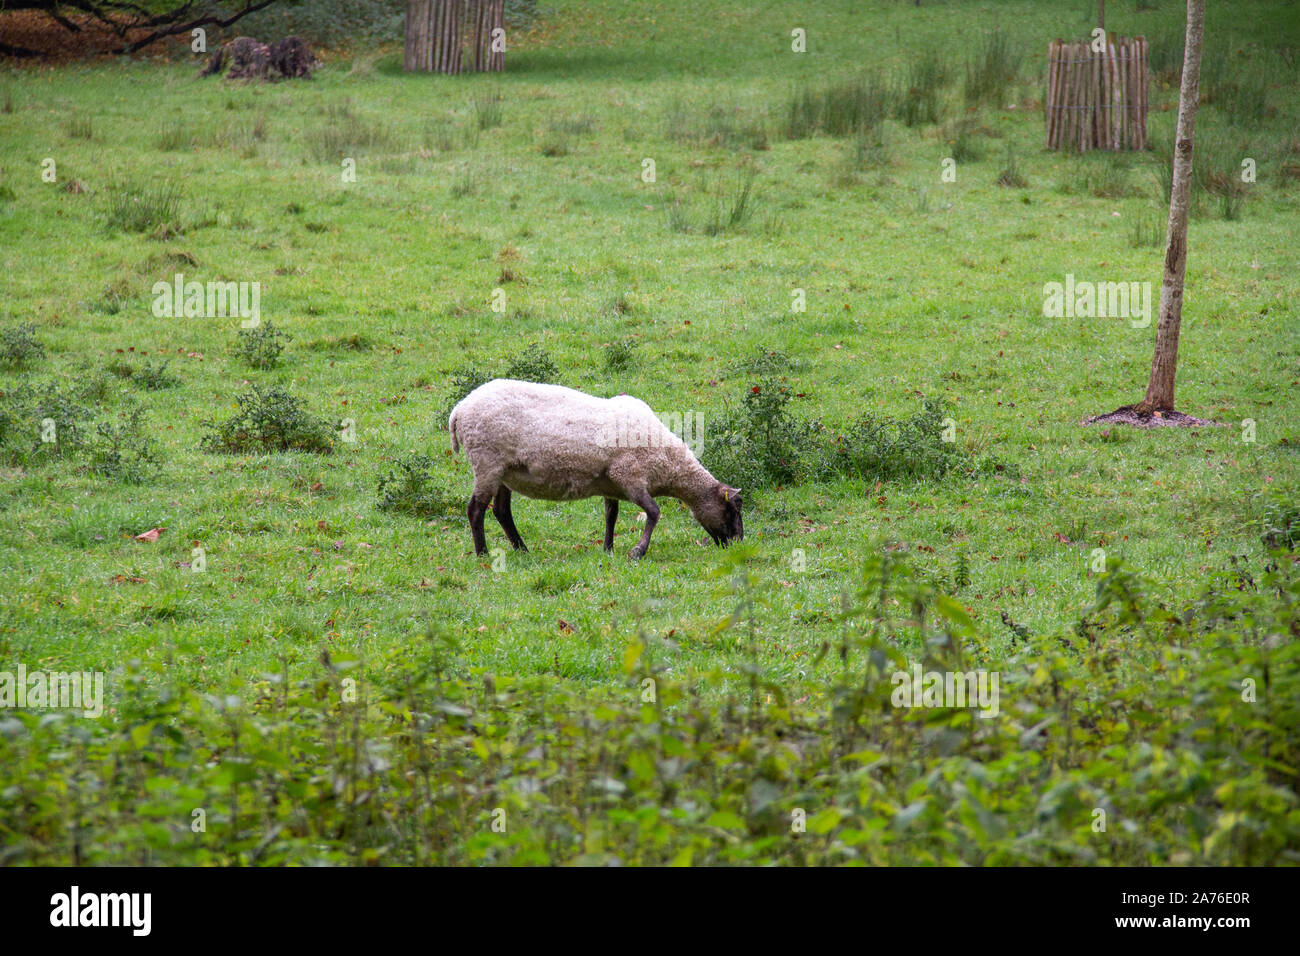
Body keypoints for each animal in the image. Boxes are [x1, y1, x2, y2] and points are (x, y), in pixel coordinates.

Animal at [449, 379, 742, 559]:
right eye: (732, 509)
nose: (738, 544)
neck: (668, 464)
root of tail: (459, 410)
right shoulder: (630, 475)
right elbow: (654, 512)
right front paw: (637, 551)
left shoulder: (611, 483)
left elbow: (611, 516)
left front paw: (608, 549)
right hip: (487, 462)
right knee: (476, 510)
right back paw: (483, 554)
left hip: (504, 471)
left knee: (501, 511)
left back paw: (522, 550)